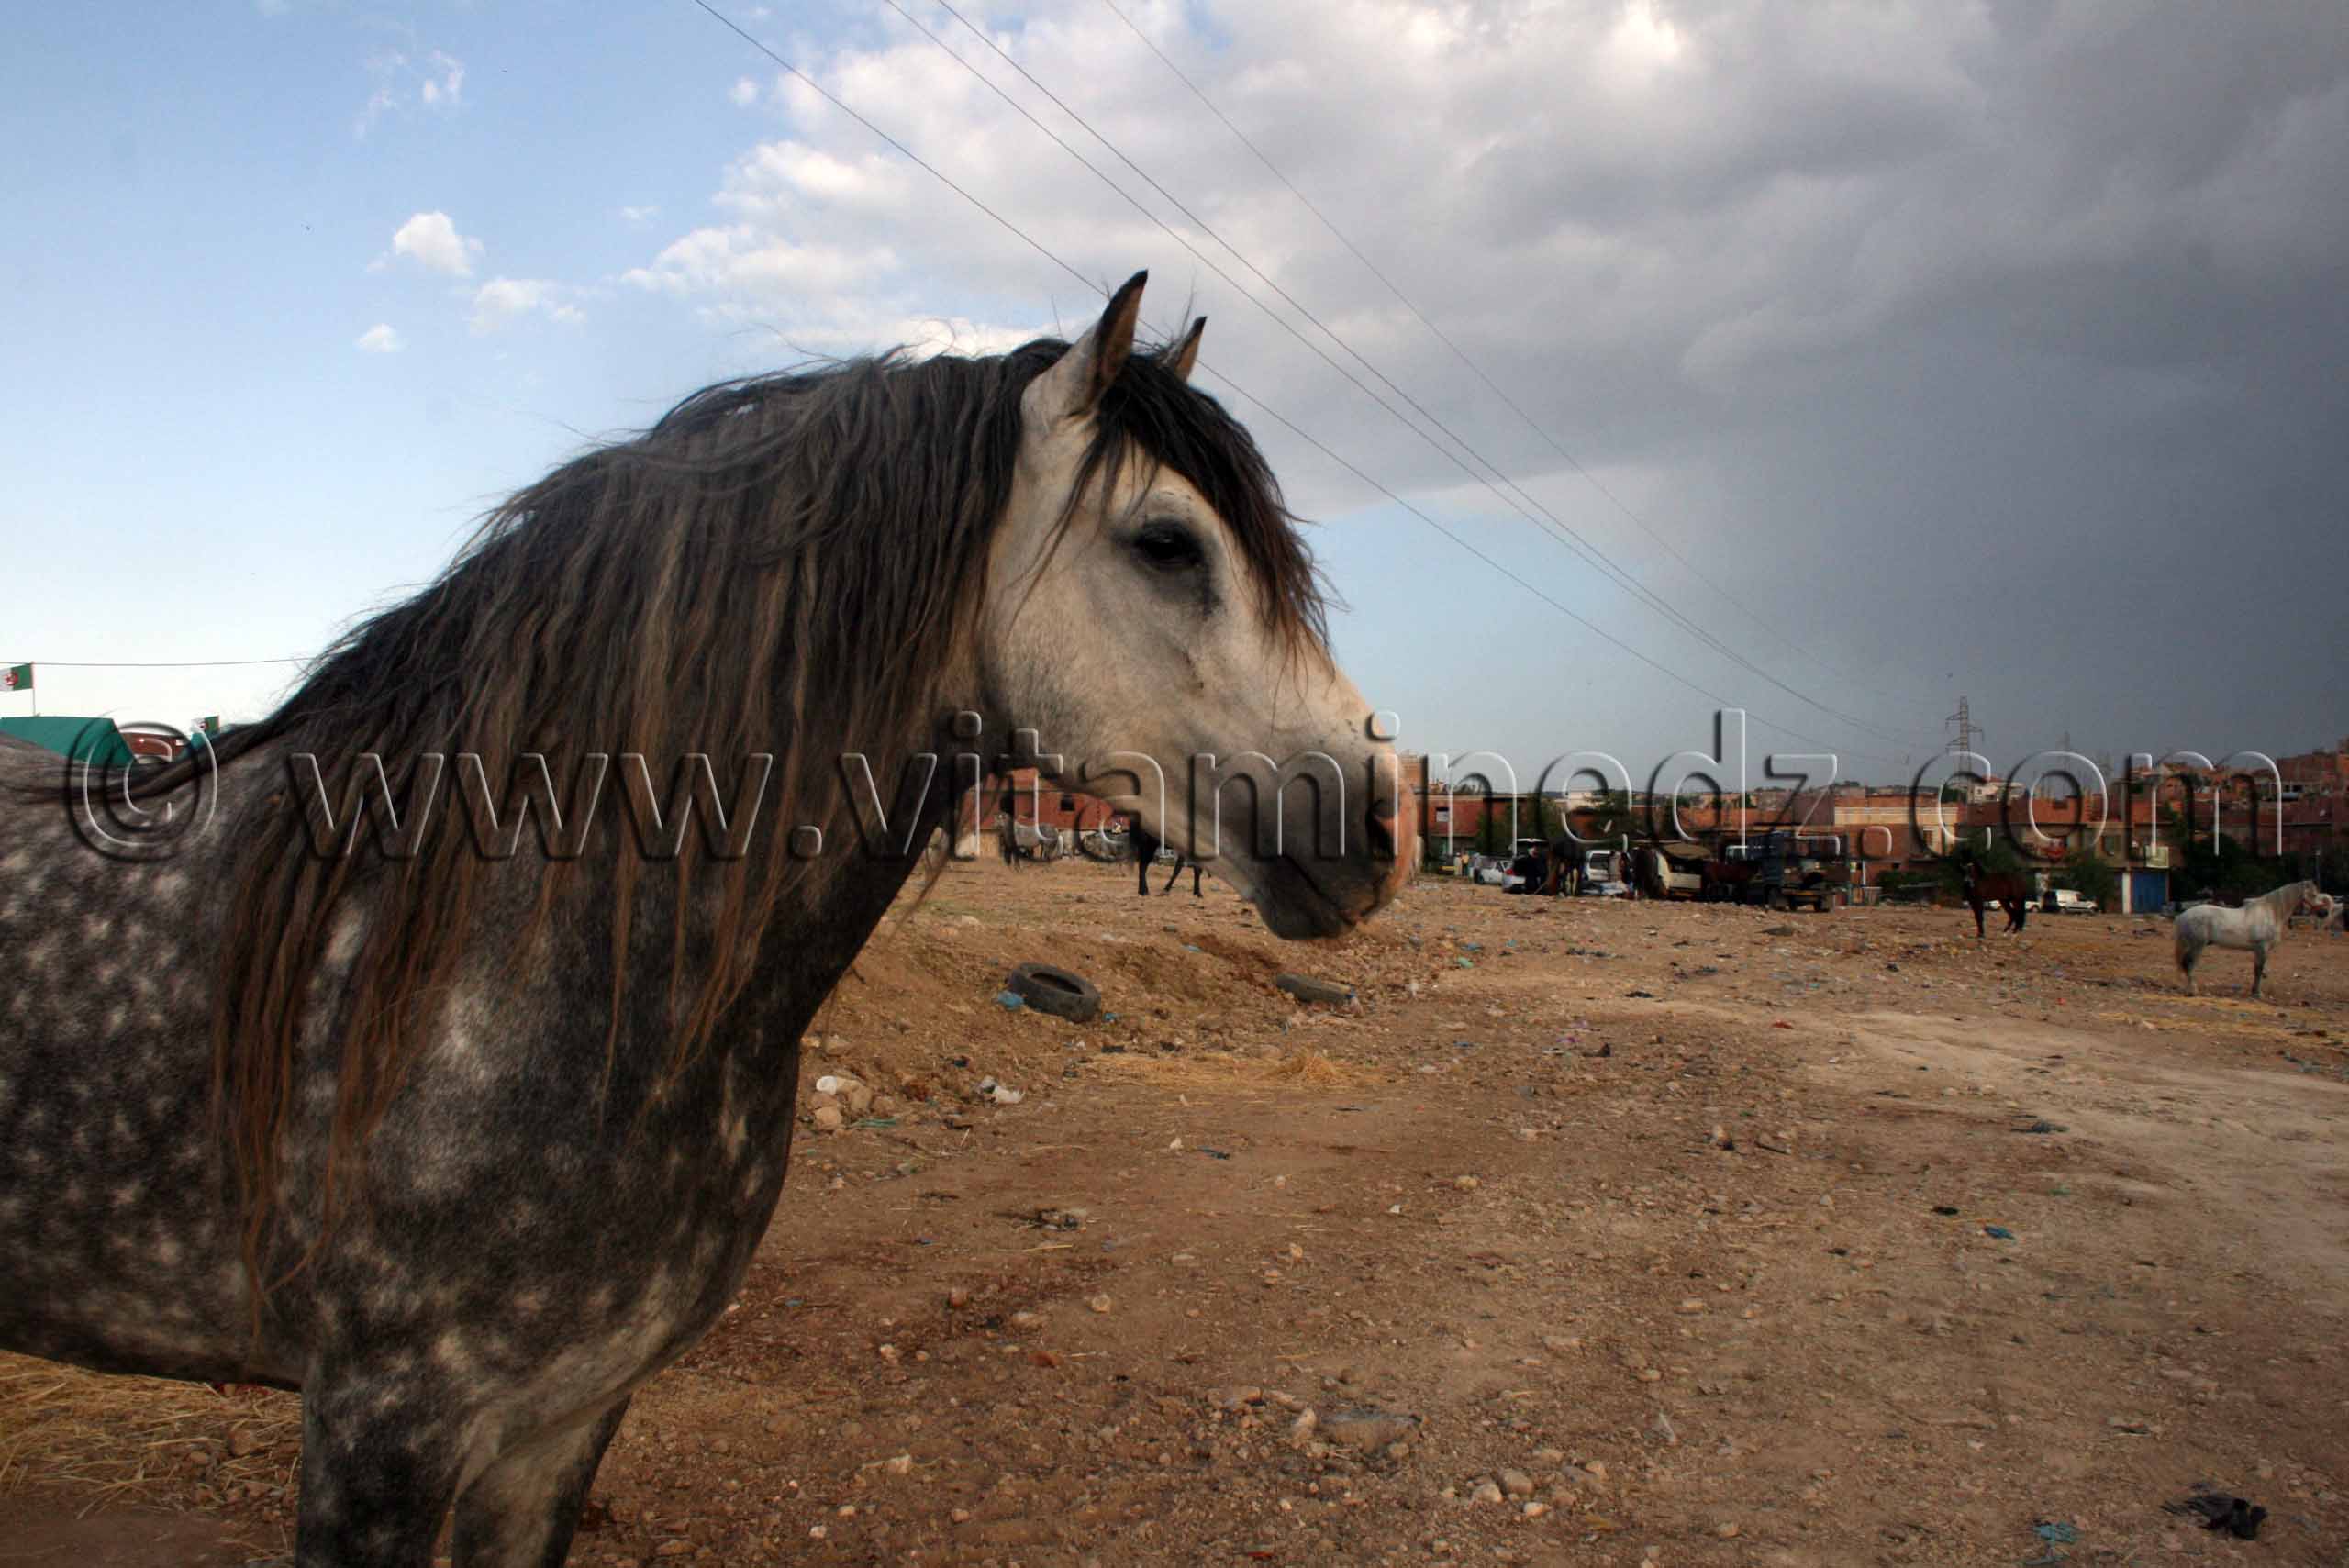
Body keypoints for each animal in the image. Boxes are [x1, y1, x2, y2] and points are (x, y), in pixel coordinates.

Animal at [2175, 879, 2325, 997]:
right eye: (2313, 895)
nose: (2324, 913)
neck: (2270, 913)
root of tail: (2182, 916)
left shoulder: (2259, 950)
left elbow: (2257, 969)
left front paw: (2255, 990)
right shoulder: (2262, 947)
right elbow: (2258, 969)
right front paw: (2257, 993)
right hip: (2197, 945)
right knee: (2189, 964)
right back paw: (2192, 990)